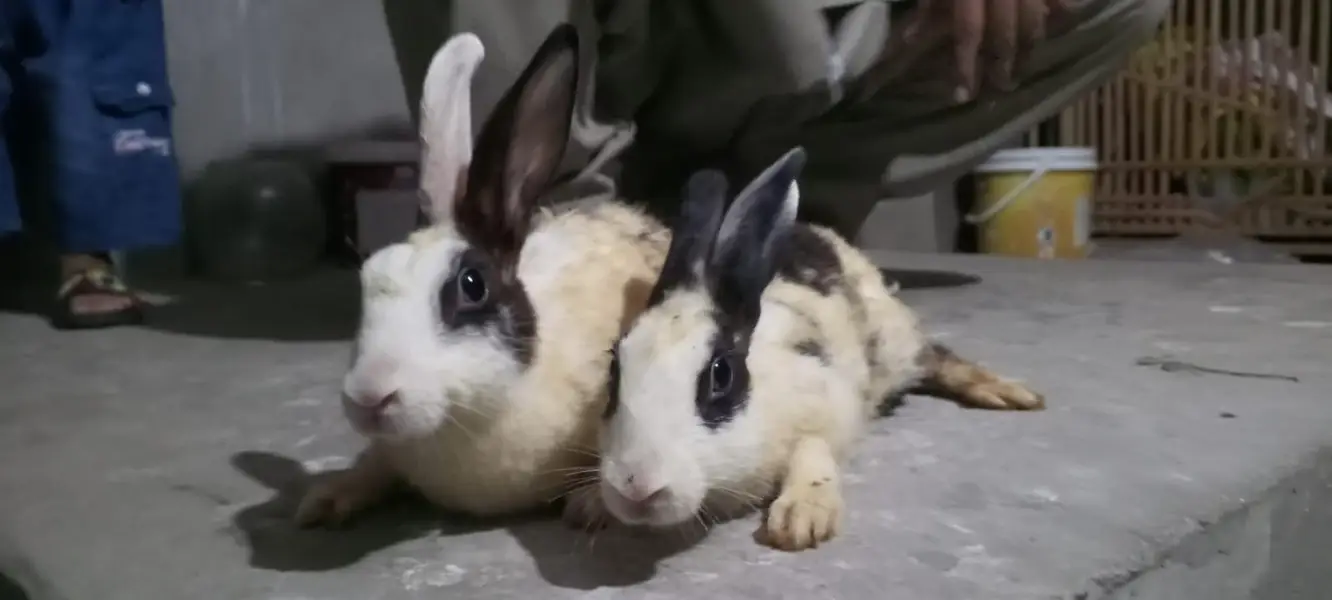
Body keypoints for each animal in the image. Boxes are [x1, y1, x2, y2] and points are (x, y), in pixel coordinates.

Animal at [583, 147, 1045, 552]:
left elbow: (812, 454)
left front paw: (801, 520)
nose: (636, 489)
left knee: (938, 357)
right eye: (614, 369)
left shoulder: (827, 404)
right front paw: (589, 506)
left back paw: (1010, 394)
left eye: (721, 376)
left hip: (897, 341)